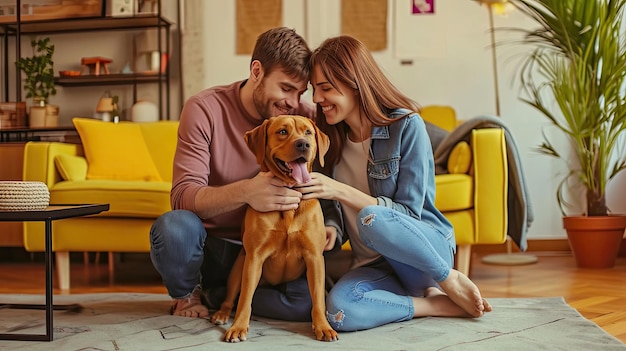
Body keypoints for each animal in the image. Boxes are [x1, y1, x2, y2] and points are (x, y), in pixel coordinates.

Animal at [208, 115, 336, 344]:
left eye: (308, 132)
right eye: (282, 132)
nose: (303, 144)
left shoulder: (314, 258)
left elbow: (318, 301)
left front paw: (323, 326)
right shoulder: (254, 258)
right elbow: (245, 299)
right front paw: (238, 327)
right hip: (239, 267)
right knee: (232, 296)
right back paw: (221, 313)